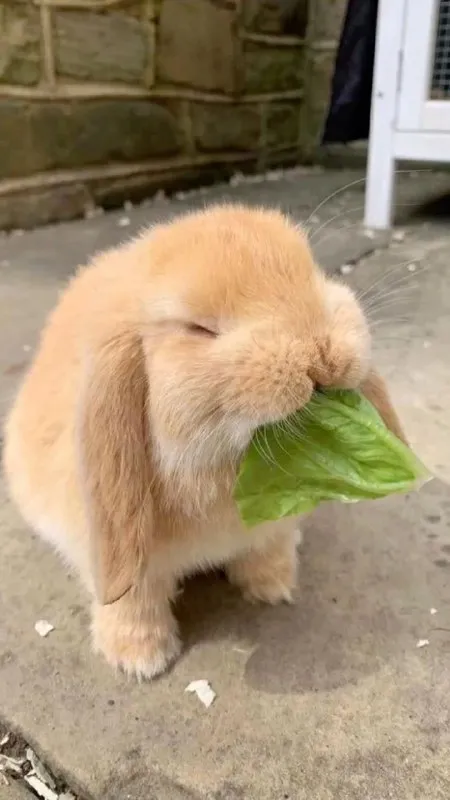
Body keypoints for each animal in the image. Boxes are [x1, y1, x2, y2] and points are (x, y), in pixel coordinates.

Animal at [3, 204, 405, 680]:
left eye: (313, 274)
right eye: (198, 329)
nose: (321, 357)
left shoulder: (271, 527)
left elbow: (268, 548)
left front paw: (273, 588)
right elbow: (133, 602)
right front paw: (141, 660)